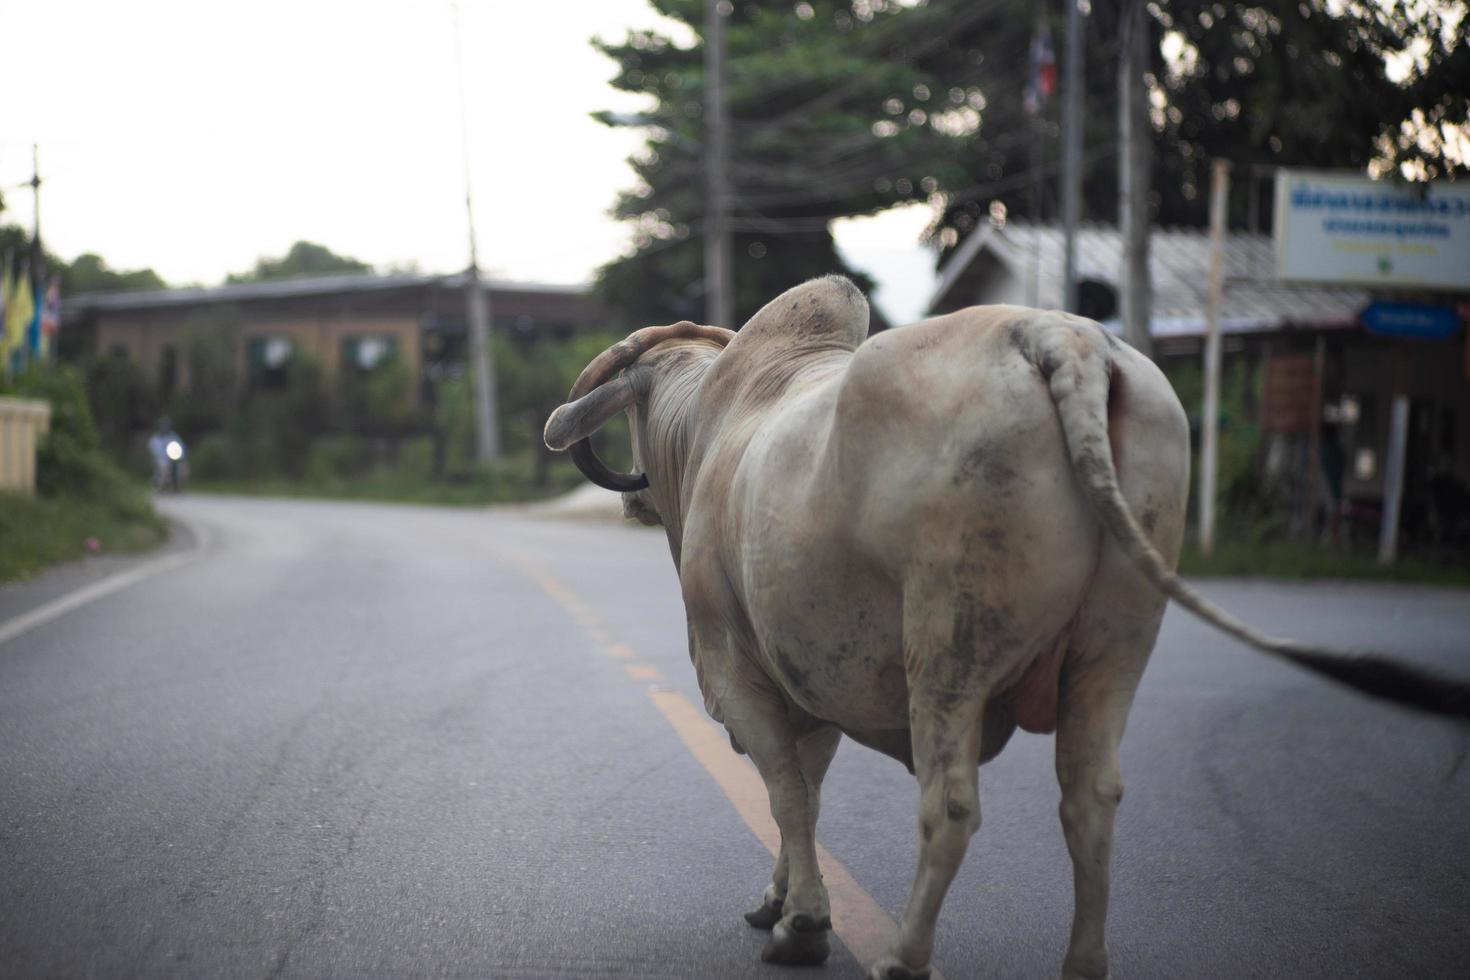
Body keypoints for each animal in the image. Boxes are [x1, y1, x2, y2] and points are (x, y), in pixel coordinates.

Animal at [543, 276, 1470, 980]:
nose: (631, 500)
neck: (714, 428)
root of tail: (1062, 339)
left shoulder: (740, 675)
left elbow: (788, 795)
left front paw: (800, 924)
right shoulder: (808, 680)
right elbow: (803, 792)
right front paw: (779, 901)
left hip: (948, 649)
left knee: (949, 805)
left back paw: (905, 958)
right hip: (1115, 646)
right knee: (1091, 797)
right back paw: (1082, 965)